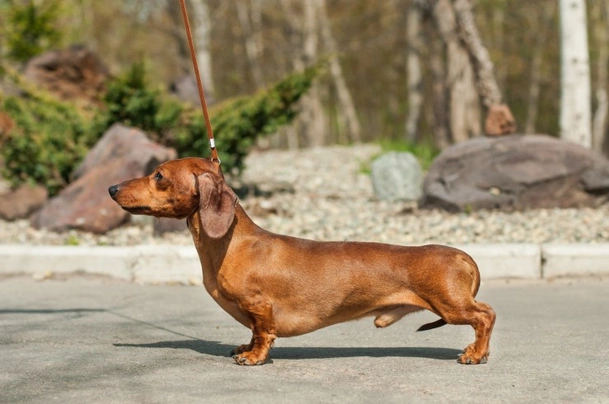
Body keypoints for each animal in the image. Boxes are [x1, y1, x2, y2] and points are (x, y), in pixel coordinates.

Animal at [108, 158, 494, 366]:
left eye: (159, 175)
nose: (111, 188)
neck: (231, 243)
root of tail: (461, 254)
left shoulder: (259, 306)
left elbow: (263, 332)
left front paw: (254, 356)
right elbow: (252, 331)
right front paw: (245, 347)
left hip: (451, 305)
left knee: (485, 315)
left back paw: (475, 354)